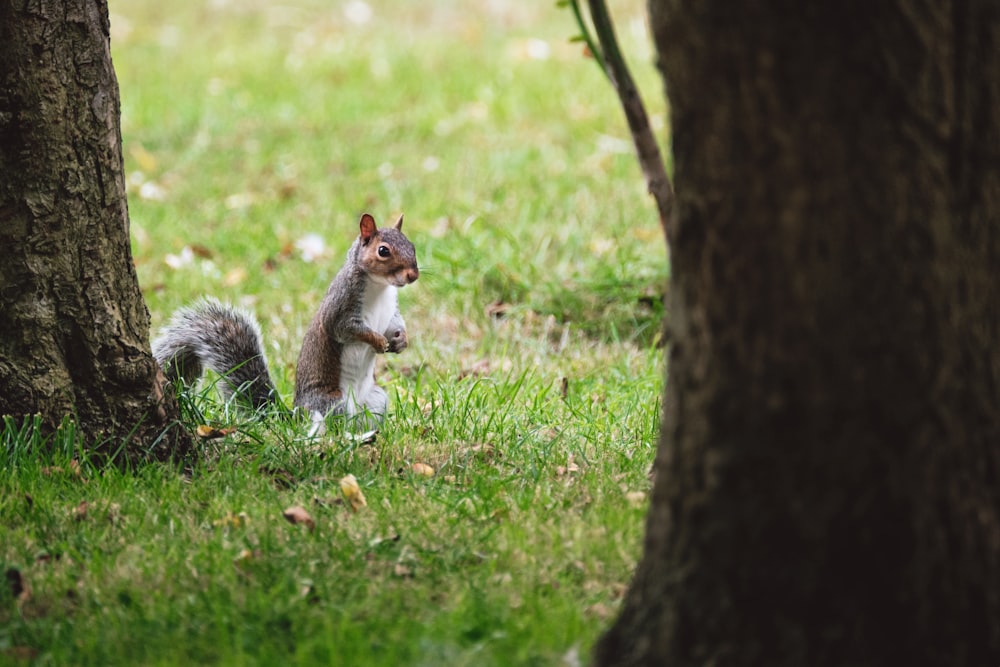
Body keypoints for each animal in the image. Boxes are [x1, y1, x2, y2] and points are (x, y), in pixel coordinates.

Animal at [154, 213, 420, 434]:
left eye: (412, 245)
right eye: (383, 251)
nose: (413, 276)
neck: (379, 286)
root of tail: (295, 416)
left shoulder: (390, 312)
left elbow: (395, 324)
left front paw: (402, 341)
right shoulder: (340, 308)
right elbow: (347, 330)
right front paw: (377, 341)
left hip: (376, 400)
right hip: (333, 402)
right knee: (333, 428)